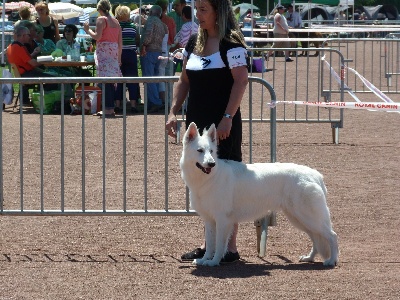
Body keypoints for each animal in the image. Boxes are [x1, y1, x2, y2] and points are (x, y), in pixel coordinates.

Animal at [180, 122, 340, 268]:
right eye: (200, 150)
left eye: (211, 151)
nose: (211, 164)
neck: (210, 178)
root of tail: (316, 175)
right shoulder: (209, 220)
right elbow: (210, 245)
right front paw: (204, 259)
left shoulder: (222, 220)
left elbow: (219, 245)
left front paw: (214, 262)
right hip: (300, 219)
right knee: (316, 238)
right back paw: (309, 258)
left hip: (307, 217)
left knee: (332, 236)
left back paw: (331, 261)